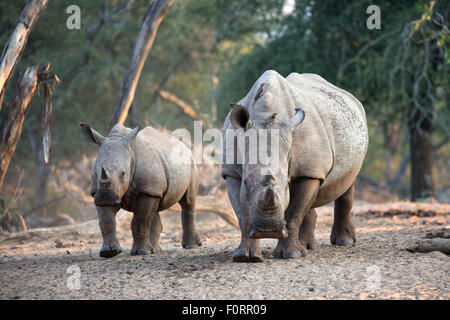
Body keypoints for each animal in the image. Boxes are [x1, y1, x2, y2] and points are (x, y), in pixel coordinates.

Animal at [80, 123, 200, 258]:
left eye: (123, 174)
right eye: (96, 172)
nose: (106, 197)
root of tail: (181, 143)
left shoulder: (147, 191)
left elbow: (140, 221)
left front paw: (141, 252)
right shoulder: (97, 192)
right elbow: (106, 221)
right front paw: (109, 252)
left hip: (190, 162)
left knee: (188, 202)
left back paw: (191, 246)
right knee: (155, 210)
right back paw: (155, 250)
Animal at [222, 70, 370, 262]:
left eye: (286, 184)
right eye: (245, 183)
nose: (268, 230)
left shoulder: (308, 171)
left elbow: (294, 213)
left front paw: (290, 255)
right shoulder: (231, 172)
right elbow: (243, 215)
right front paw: (244, 257)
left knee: (347, 182)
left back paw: (343, 242)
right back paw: (307, 246)